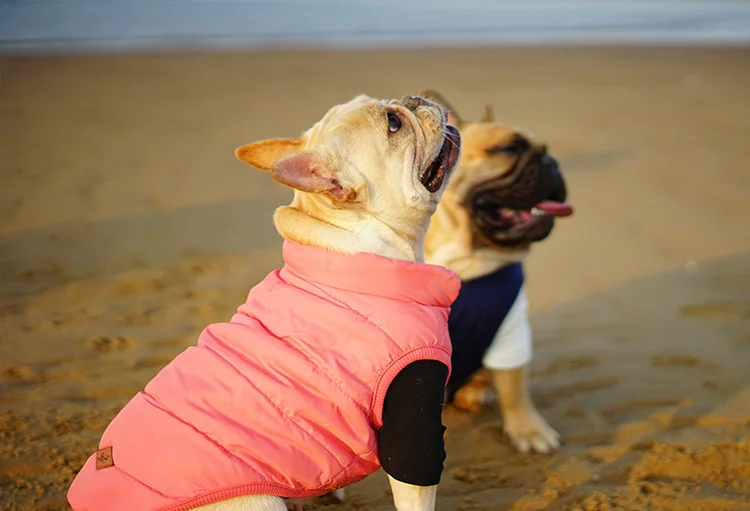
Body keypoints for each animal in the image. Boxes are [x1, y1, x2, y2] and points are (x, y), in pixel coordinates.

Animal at [424, 90, 576, 454]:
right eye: (508, 149)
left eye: (547, 150)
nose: (553, 163)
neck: (463, 261)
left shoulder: (512, 328)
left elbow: (515, 385)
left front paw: (530, 428)